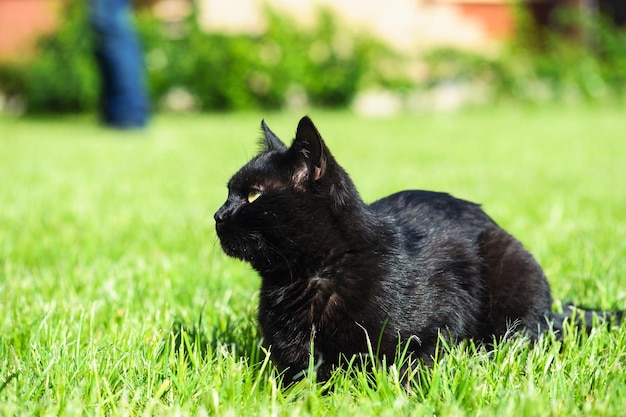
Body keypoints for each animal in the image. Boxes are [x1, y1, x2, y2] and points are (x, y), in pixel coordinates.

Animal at [213, 115, 620, 382]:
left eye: (253, 195)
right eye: (228, 191)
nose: (217, 215)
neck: (304, 278)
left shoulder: (440, 322)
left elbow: (402, 365)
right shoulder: (290, 358)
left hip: (513, 264)